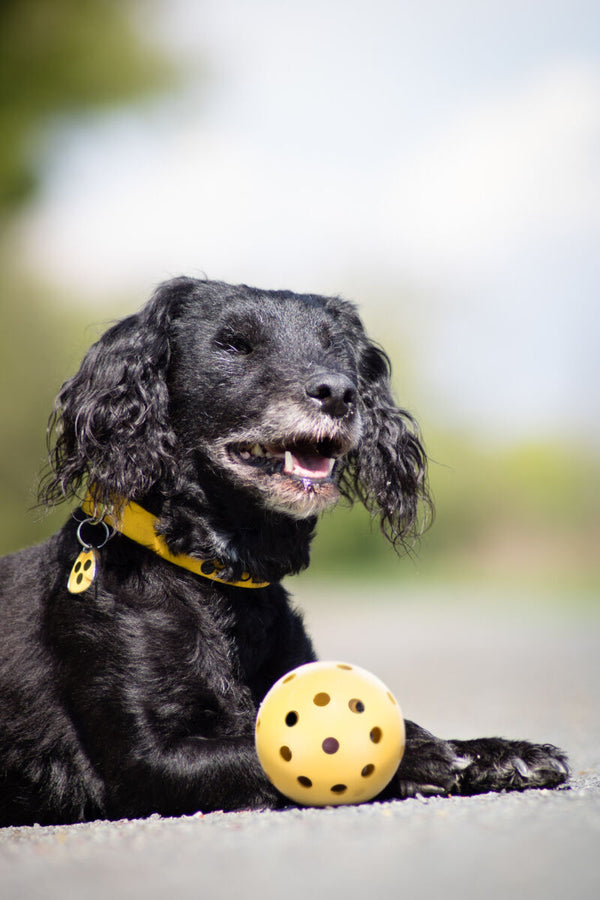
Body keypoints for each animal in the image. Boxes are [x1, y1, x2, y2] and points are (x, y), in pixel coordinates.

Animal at [0, 280, 568, 824]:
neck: (216, 578)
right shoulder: (146, 759)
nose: (339, 392)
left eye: (334, 347)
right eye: (233, 344)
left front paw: (502, 751)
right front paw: (414, 752)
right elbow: (275, 750)